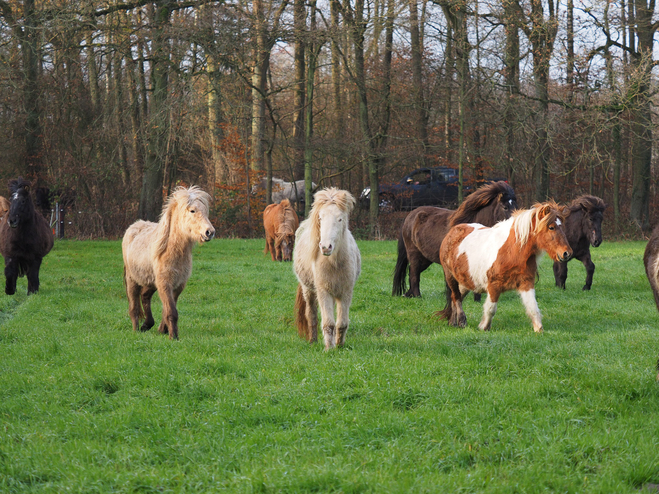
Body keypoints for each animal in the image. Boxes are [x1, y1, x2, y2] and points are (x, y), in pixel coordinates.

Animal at [122, 185, 215, 340]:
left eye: (205, 211)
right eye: (192, 210)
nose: (210, 232)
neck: (170, 251)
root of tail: (134, 226)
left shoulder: (177, 285)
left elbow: (168, 310)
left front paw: (163, 330)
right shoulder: (165, 284)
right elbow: (171, 311)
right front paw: (174, 337)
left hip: (152, 282)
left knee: (145, 296)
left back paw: (147, 324)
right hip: (132, 280)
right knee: (134, 306)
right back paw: (136, 329)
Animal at [294, 187, 360, 350]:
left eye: (340, 219)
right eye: (321, 218)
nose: (325, 247)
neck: (334, 263)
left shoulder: (345, 292)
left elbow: (342, 323)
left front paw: (339, 346)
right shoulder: (323, 292)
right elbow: (328, 323)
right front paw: (329, 349)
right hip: (309, 290)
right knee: (311, 315)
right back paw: (313, 340)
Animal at [390, 181, 520, 298]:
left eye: (516, 206)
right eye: (505, 207)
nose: (516, 224)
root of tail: (409, 217)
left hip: (425, 258)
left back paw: (408, 294)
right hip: (414, 254)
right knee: (414, 273)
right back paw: (417, 296)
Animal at [440, 200, 576, 332]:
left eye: (562, 227)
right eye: (551, 227)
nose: (567, 253)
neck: (512, 251)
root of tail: (452, 231)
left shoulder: (526, 283)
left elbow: (533, 308)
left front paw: (538, 329)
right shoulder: (494, 286)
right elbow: (491, 308)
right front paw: (484, 327)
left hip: (467, 281)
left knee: (455, 298)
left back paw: (452, 322)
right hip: (450, 277)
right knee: (456, 297)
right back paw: (461, 321)